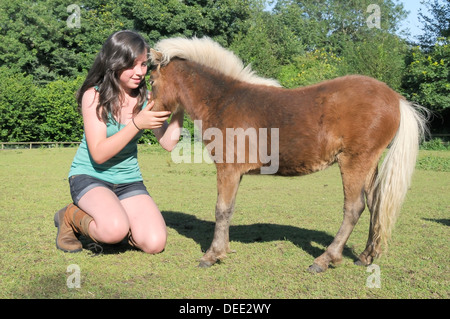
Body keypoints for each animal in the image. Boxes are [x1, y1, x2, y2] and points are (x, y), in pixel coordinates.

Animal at [149, 37, 428, 272]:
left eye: (151, 81)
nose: (150, 115)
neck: (224, 101)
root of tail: (396, 99)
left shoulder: (227, 169)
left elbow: (221, 209)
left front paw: (212, 254)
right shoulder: (235, 173)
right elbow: (229, 209)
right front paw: (224, 249)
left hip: (354, 161)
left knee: (354, 207)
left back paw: (325, 259)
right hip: (370, 164)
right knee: (375, 203)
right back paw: (365, 256)